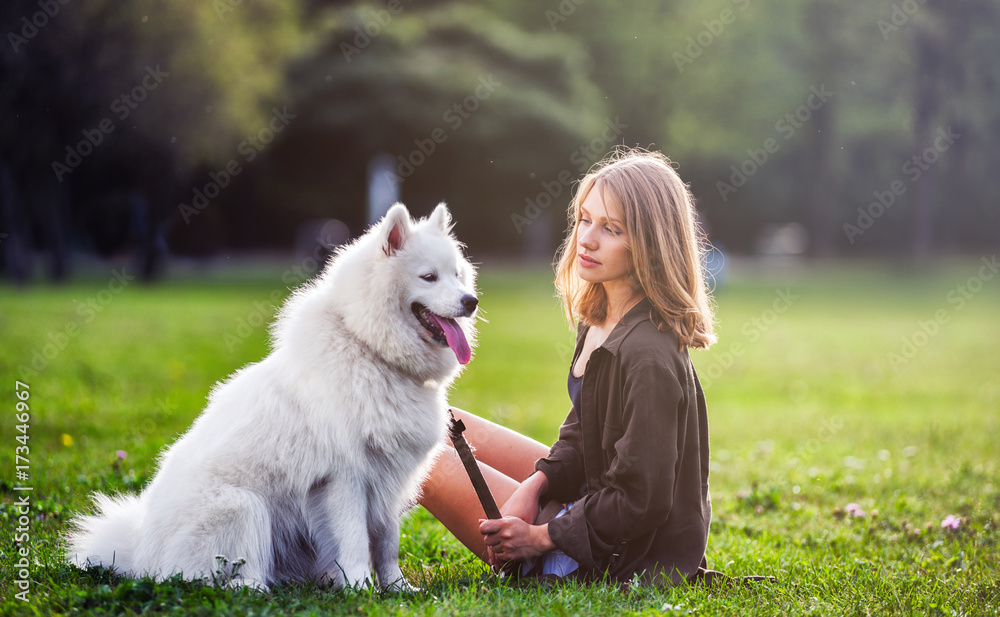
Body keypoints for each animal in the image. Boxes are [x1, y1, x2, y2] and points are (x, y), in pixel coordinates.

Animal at [67, 201, 480, 588]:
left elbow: (387, 543)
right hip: (245, 506)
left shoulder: (389, 480)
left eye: (457, 275)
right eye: (429, 277)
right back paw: (257, 589)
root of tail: (139, 555)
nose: (471, 301)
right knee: (225, 578)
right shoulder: (344, 479)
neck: (369, 349)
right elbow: (353, 540)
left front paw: (397, 589)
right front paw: (360, 588)